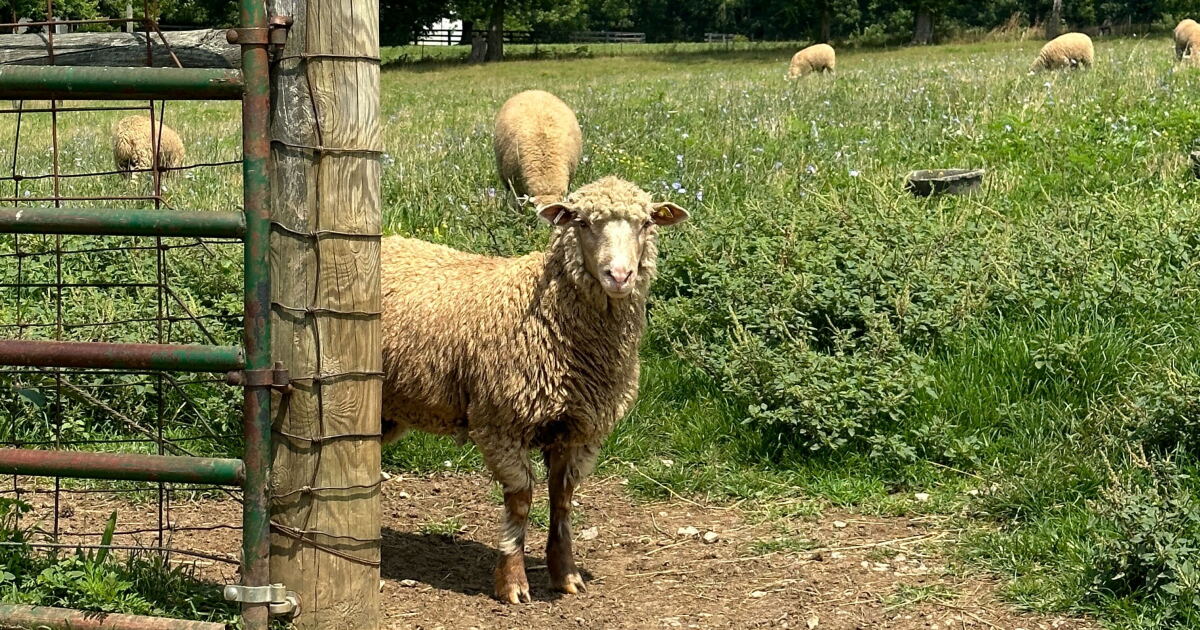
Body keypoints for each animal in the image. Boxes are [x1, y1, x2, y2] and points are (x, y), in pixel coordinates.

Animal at [379, 176, 689, 604]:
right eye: (581, 222)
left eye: (645, 223)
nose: (619, 275)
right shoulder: (499, 423)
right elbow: (522, 500)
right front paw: (512, 582)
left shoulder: (580, 432)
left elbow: (562, 499)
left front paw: (566, 573)